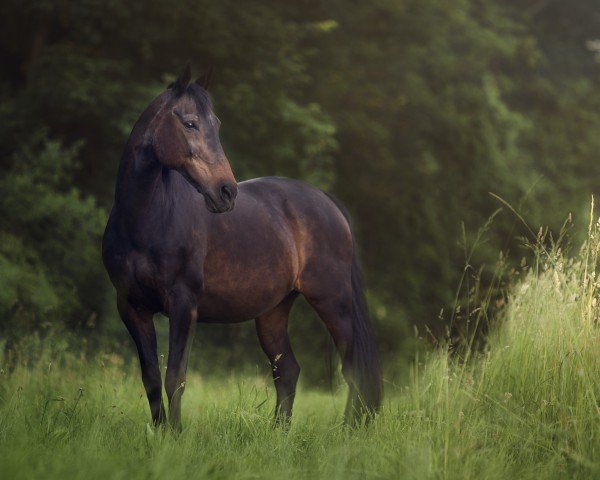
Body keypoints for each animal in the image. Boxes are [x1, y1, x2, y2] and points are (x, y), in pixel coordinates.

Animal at [102, 65, 384, 430]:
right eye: (190, 123)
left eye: (217, 124)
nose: (226, 191)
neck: (145, 220)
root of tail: (327, 201)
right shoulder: (132, 308)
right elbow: (150, 377)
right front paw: (159, 431)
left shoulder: (183, 304)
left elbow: (175, 376)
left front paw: (174, 435)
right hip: (273, 312)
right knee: (288, 371)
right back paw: (279, 433)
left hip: (333, 302)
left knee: (352, 369)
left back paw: (348, 430)